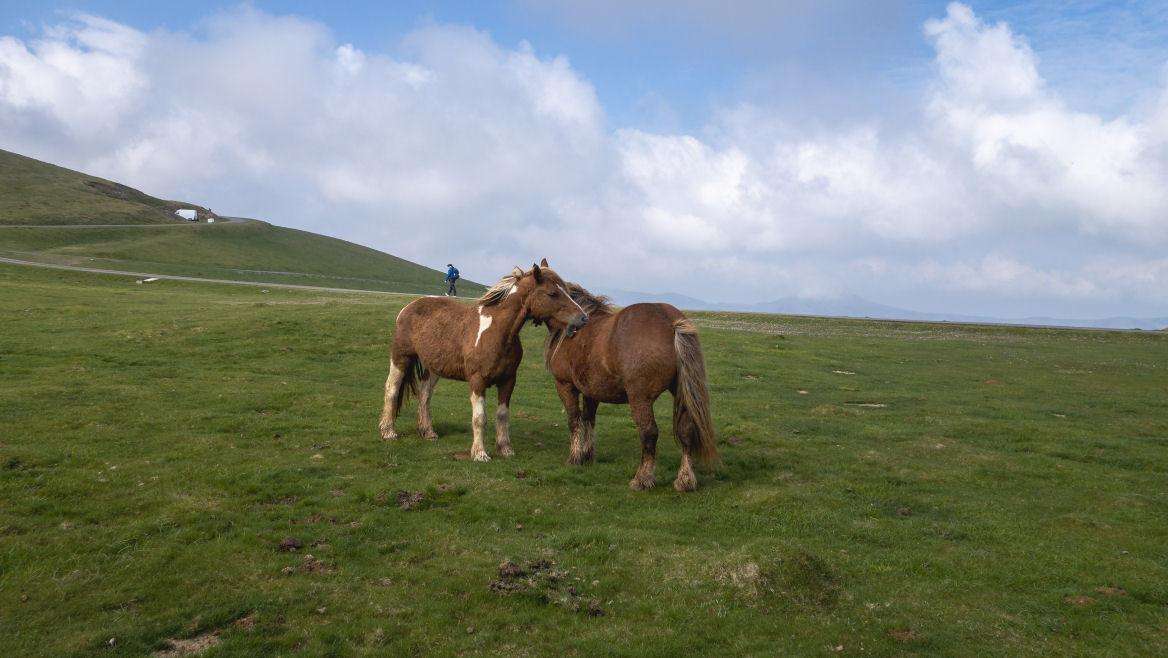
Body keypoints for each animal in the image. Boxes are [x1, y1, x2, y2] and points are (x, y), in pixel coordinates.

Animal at [378, 262, 588, 462]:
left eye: (567, 291)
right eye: (552, 293)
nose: (583, 318)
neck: (497, 332)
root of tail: (408, 307)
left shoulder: (508, 380)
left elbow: (502, 415)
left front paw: (505, 449)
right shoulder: (477, 381)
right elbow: (480, 418)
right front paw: (480, 453)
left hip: (433, 368)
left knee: (424, 396)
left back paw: (428, 432)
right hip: (400, 358)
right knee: (392, 389)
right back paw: (388, 431)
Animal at [541, 262, 714, 488]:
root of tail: (670, 321)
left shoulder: (565, 385)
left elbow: (575, 421)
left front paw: (575, 458)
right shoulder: (591, 390)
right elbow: (588, 419)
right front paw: (587, 455)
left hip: (639, 398)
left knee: (649, 432)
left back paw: (642, 478)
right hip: (681, 392)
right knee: (686, 430)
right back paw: (685, 480)